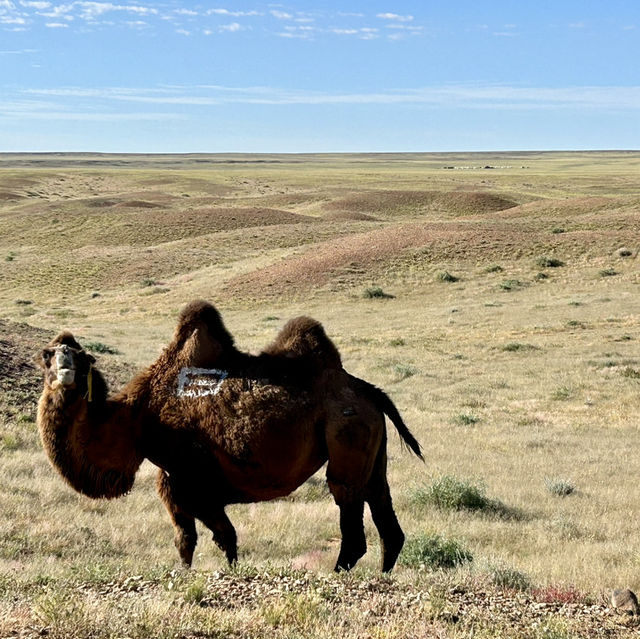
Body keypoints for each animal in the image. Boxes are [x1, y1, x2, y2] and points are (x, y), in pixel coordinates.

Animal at [37, 302, 422, 572]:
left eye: (81, 357)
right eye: (48, 355)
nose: (65, 370)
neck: (137, 418)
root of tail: (370, 392)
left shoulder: (196, 480)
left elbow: (224, 538)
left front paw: (230, 573)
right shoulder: (172, 482)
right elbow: (186, 539)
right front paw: (186, 574)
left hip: (347, 434)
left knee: (349, 506)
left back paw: (337, 572)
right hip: (372, 445)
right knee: (383, 509)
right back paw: (384, 573)